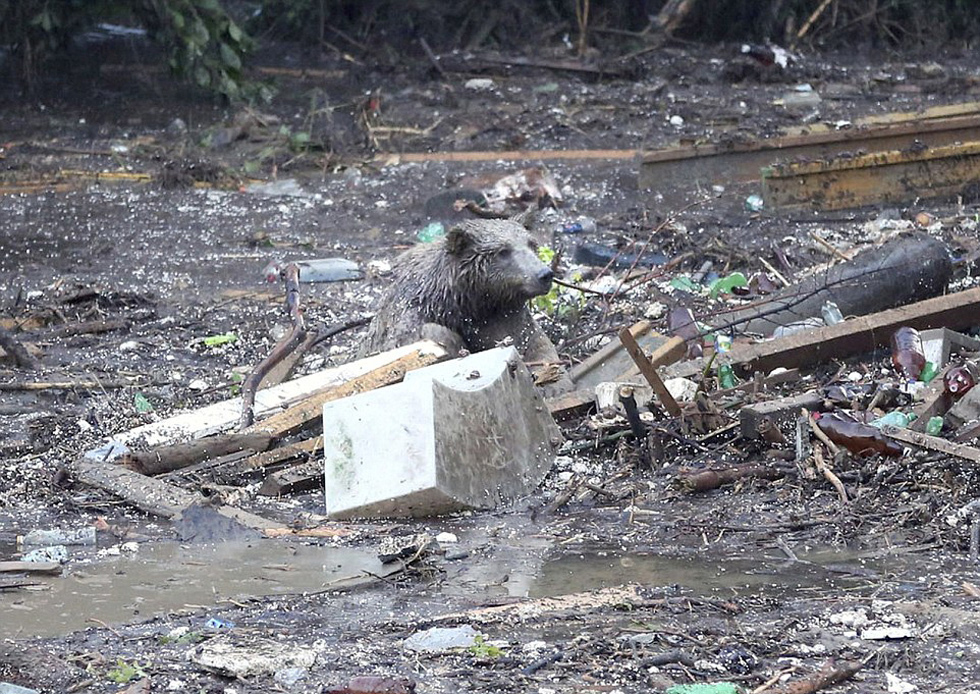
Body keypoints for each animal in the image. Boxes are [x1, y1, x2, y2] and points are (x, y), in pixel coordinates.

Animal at [364, 218, 572, 392]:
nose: (544, 274)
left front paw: (554, 381)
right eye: (503, 251)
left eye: (531, 244)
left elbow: (535, 344)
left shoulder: (502, 315)